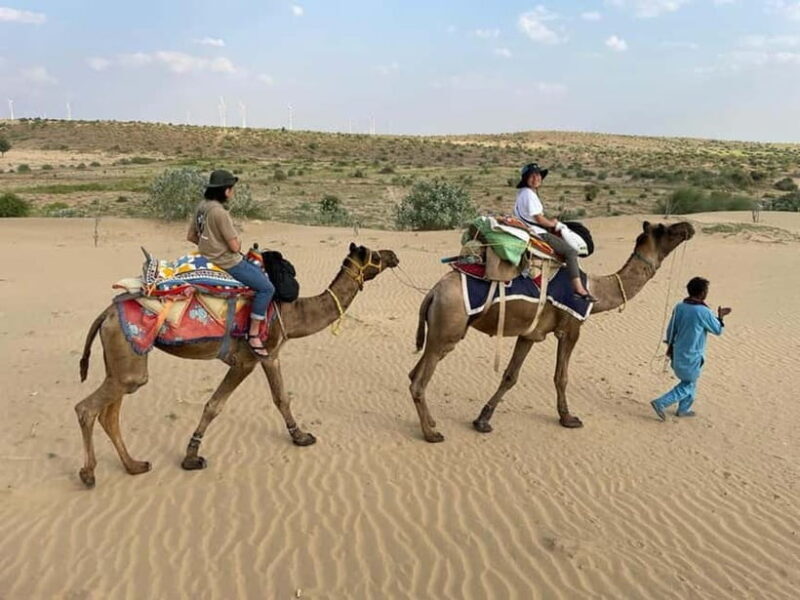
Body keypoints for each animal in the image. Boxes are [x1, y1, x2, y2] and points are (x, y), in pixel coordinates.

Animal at [76, 243, 399, 488]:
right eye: (374, 254)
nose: (393, 254)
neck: (292, 312)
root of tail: (106, 313)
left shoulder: (271, 355)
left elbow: (281, 398)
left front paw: (300, 436)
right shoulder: (249, 359)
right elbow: (214, 405)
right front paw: (192, 457)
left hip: (124, 359)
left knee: (110, 413)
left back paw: (134, 465)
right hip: (128, 355)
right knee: (87, 408)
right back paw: (89, 474)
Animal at [409, 220, 695, 442]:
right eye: (663, 229)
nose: (688, 227)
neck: (597, 292)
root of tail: (433, 292)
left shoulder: (529, 334)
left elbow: (510, 376)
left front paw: (482, 420)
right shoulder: (571, 329)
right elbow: (561, 376)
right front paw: (568, 418)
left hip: (438, 333)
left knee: (414, 373)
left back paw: (431, 423)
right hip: (449, 328)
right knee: (419, 383)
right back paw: (431, 434)